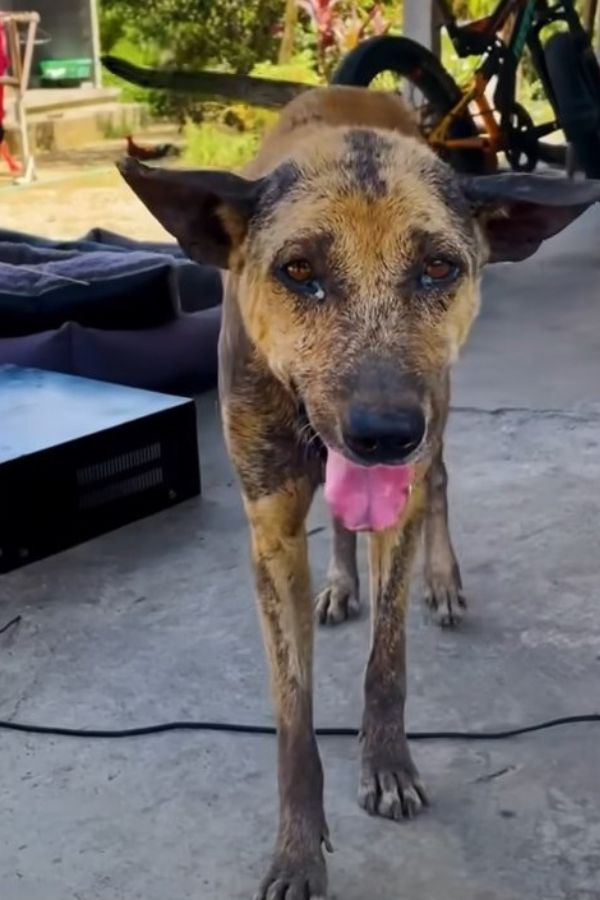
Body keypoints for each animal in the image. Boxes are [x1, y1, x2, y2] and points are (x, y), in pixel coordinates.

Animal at [118, 86, 600, 900]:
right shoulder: (271, 530)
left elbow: (387, 662)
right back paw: (342, 583)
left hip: (437, 416)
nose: (383, 434)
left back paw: (442, 580)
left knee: (437, 483)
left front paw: (387, 764)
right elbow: (293, 715)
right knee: (343, 524)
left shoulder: (401, 494)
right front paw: (296, 849)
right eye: (298, 270)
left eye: (438, 267)